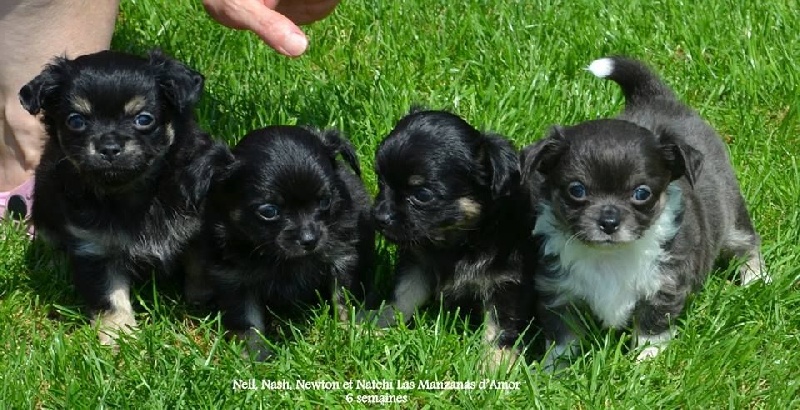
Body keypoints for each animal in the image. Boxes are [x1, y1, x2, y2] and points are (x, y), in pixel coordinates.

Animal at [18, 49, 231, 344]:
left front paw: (203, 304)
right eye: (76, 121)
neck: (134, 192)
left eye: (144, 119)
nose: (109, 147)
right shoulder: (95, 247)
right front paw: (120, 336)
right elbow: (110, 297)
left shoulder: (198, 228)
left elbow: (200, 268)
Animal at [195, 125, 378, 358]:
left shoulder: (342, 256)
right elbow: (248, 322)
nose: (310, 240)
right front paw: (254, 355)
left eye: (325, 201)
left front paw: (353, 331)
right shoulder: (234, 279)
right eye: (269, 211)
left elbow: (344, 299)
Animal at [362, 107, 536, 366]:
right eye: (381, 182)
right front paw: (379, 321)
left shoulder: (507, 285)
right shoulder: (417, 262)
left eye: (422, 195)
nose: (379, 216)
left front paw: (496, 365)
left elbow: (499, 328)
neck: (460, 241)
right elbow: (404, 295)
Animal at [520, 55, 768, 368]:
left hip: (732, 214)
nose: (609, 222)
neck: (611, 256)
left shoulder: (666, 283)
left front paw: (646, 363)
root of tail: (658, 98)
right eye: (577, 190)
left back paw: (756, 279)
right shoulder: (557, 290)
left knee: (746, 243)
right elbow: (563, 335)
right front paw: (555, 368)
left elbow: (653, 325)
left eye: (641, 194)